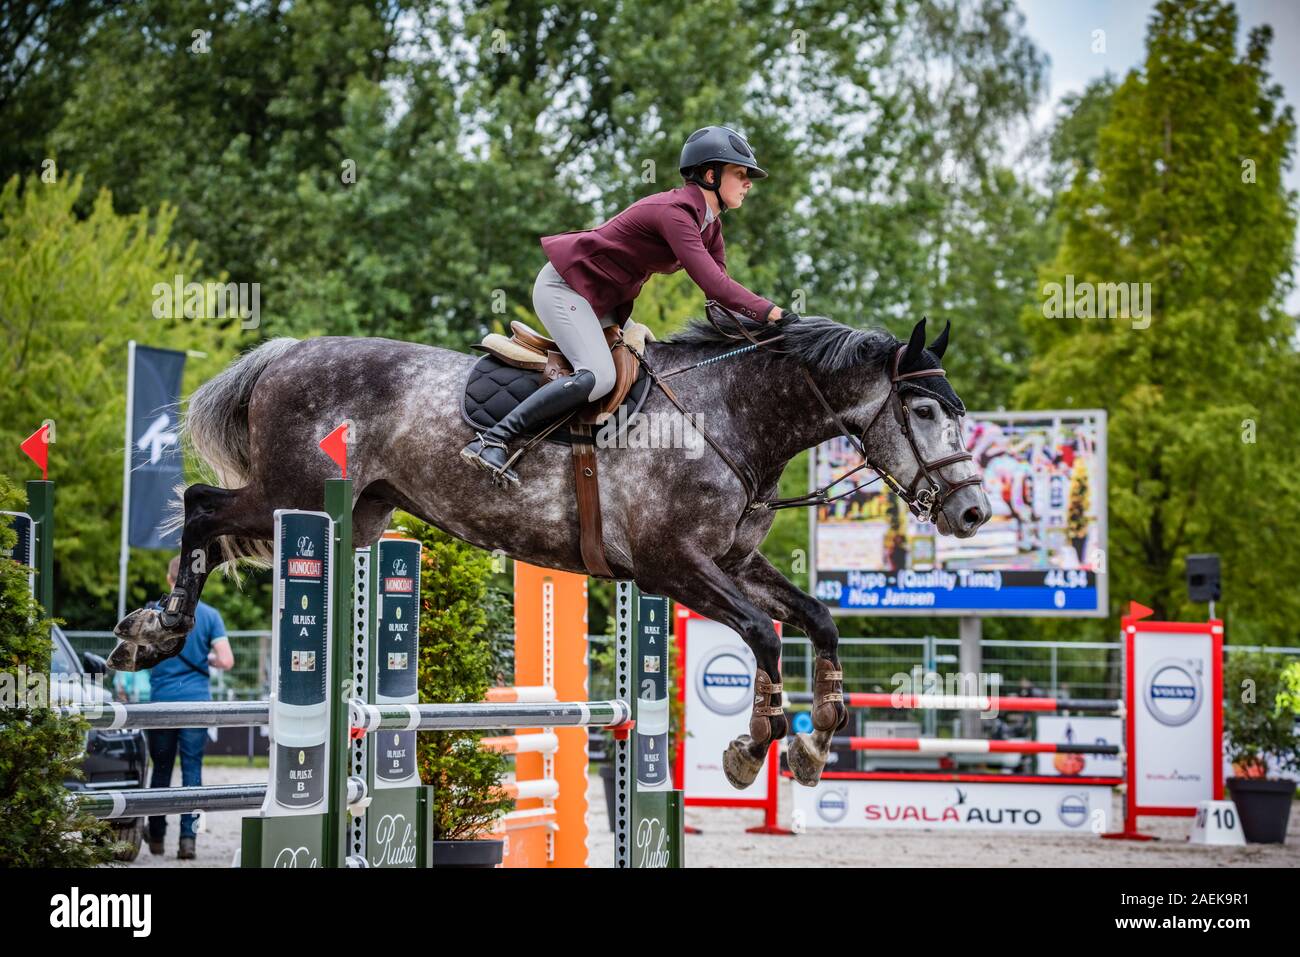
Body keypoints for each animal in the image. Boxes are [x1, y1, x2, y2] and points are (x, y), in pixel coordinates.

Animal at [111, 310, 987, 790]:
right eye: (921, 410)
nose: (974, 509)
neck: (728, 417)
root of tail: (285, 352)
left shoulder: (732, 564)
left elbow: (818, 618)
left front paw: (816, 738)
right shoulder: (673, 564)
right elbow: (763, 635)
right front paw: (752, 746)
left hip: (357, 517)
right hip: (291, 496)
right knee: (200, 507)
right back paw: (153, 627)